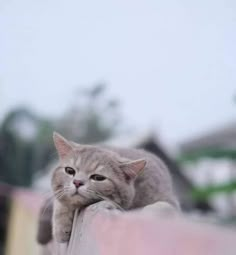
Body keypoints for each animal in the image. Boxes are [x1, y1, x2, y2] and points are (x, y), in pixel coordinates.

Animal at [37, 132, 179, 244]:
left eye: (98, 177)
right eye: (69, 170)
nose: (77, 182)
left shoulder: (168, 200)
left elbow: (160, 207)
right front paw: (61, 227)